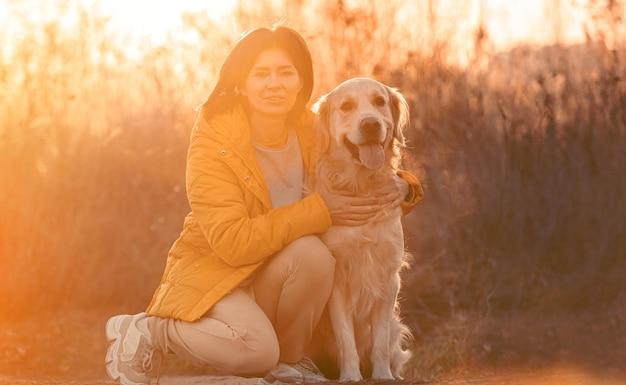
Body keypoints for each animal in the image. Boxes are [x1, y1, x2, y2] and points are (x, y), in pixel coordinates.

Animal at [310, 78, 412, 380]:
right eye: (346, 106)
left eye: (379, 101)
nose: (370, 125)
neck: (362, 185)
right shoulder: (337, 281)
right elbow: (346, 340)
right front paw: (351, 376)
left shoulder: (388, 277)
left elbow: (379, 342)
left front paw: (382, 376)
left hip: (396, 325)